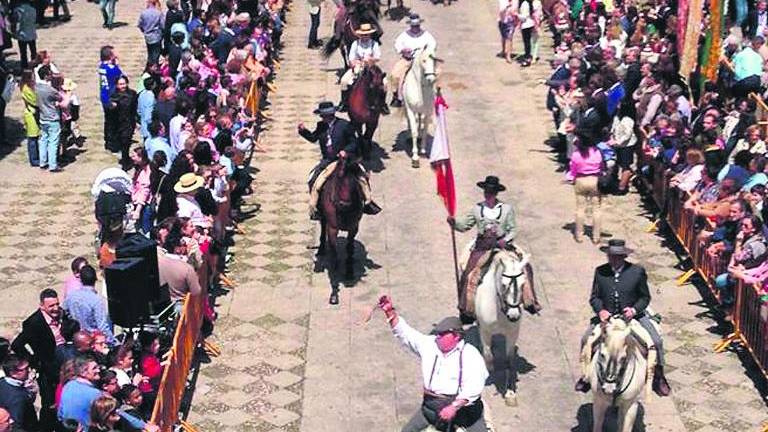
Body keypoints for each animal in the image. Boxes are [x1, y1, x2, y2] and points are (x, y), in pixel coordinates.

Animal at [320, 159, 364, 304]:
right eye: (339, 180)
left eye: (354, 183)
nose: (344, 204)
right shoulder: (332, 229)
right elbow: (334, 256)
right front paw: (334, 292)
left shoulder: (354, 227)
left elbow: (350, 249)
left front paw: (349, 272)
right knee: (322, 227)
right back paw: (321, 249)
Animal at [474, 251, 528, 406]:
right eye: (504, 285)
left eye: (523, 284)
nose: (514, 316)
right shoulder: (485, 331)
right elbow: (488, 354)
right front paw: (489, 368)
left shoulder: (512, 334)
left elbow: (509, 360)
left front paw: (510, 393)